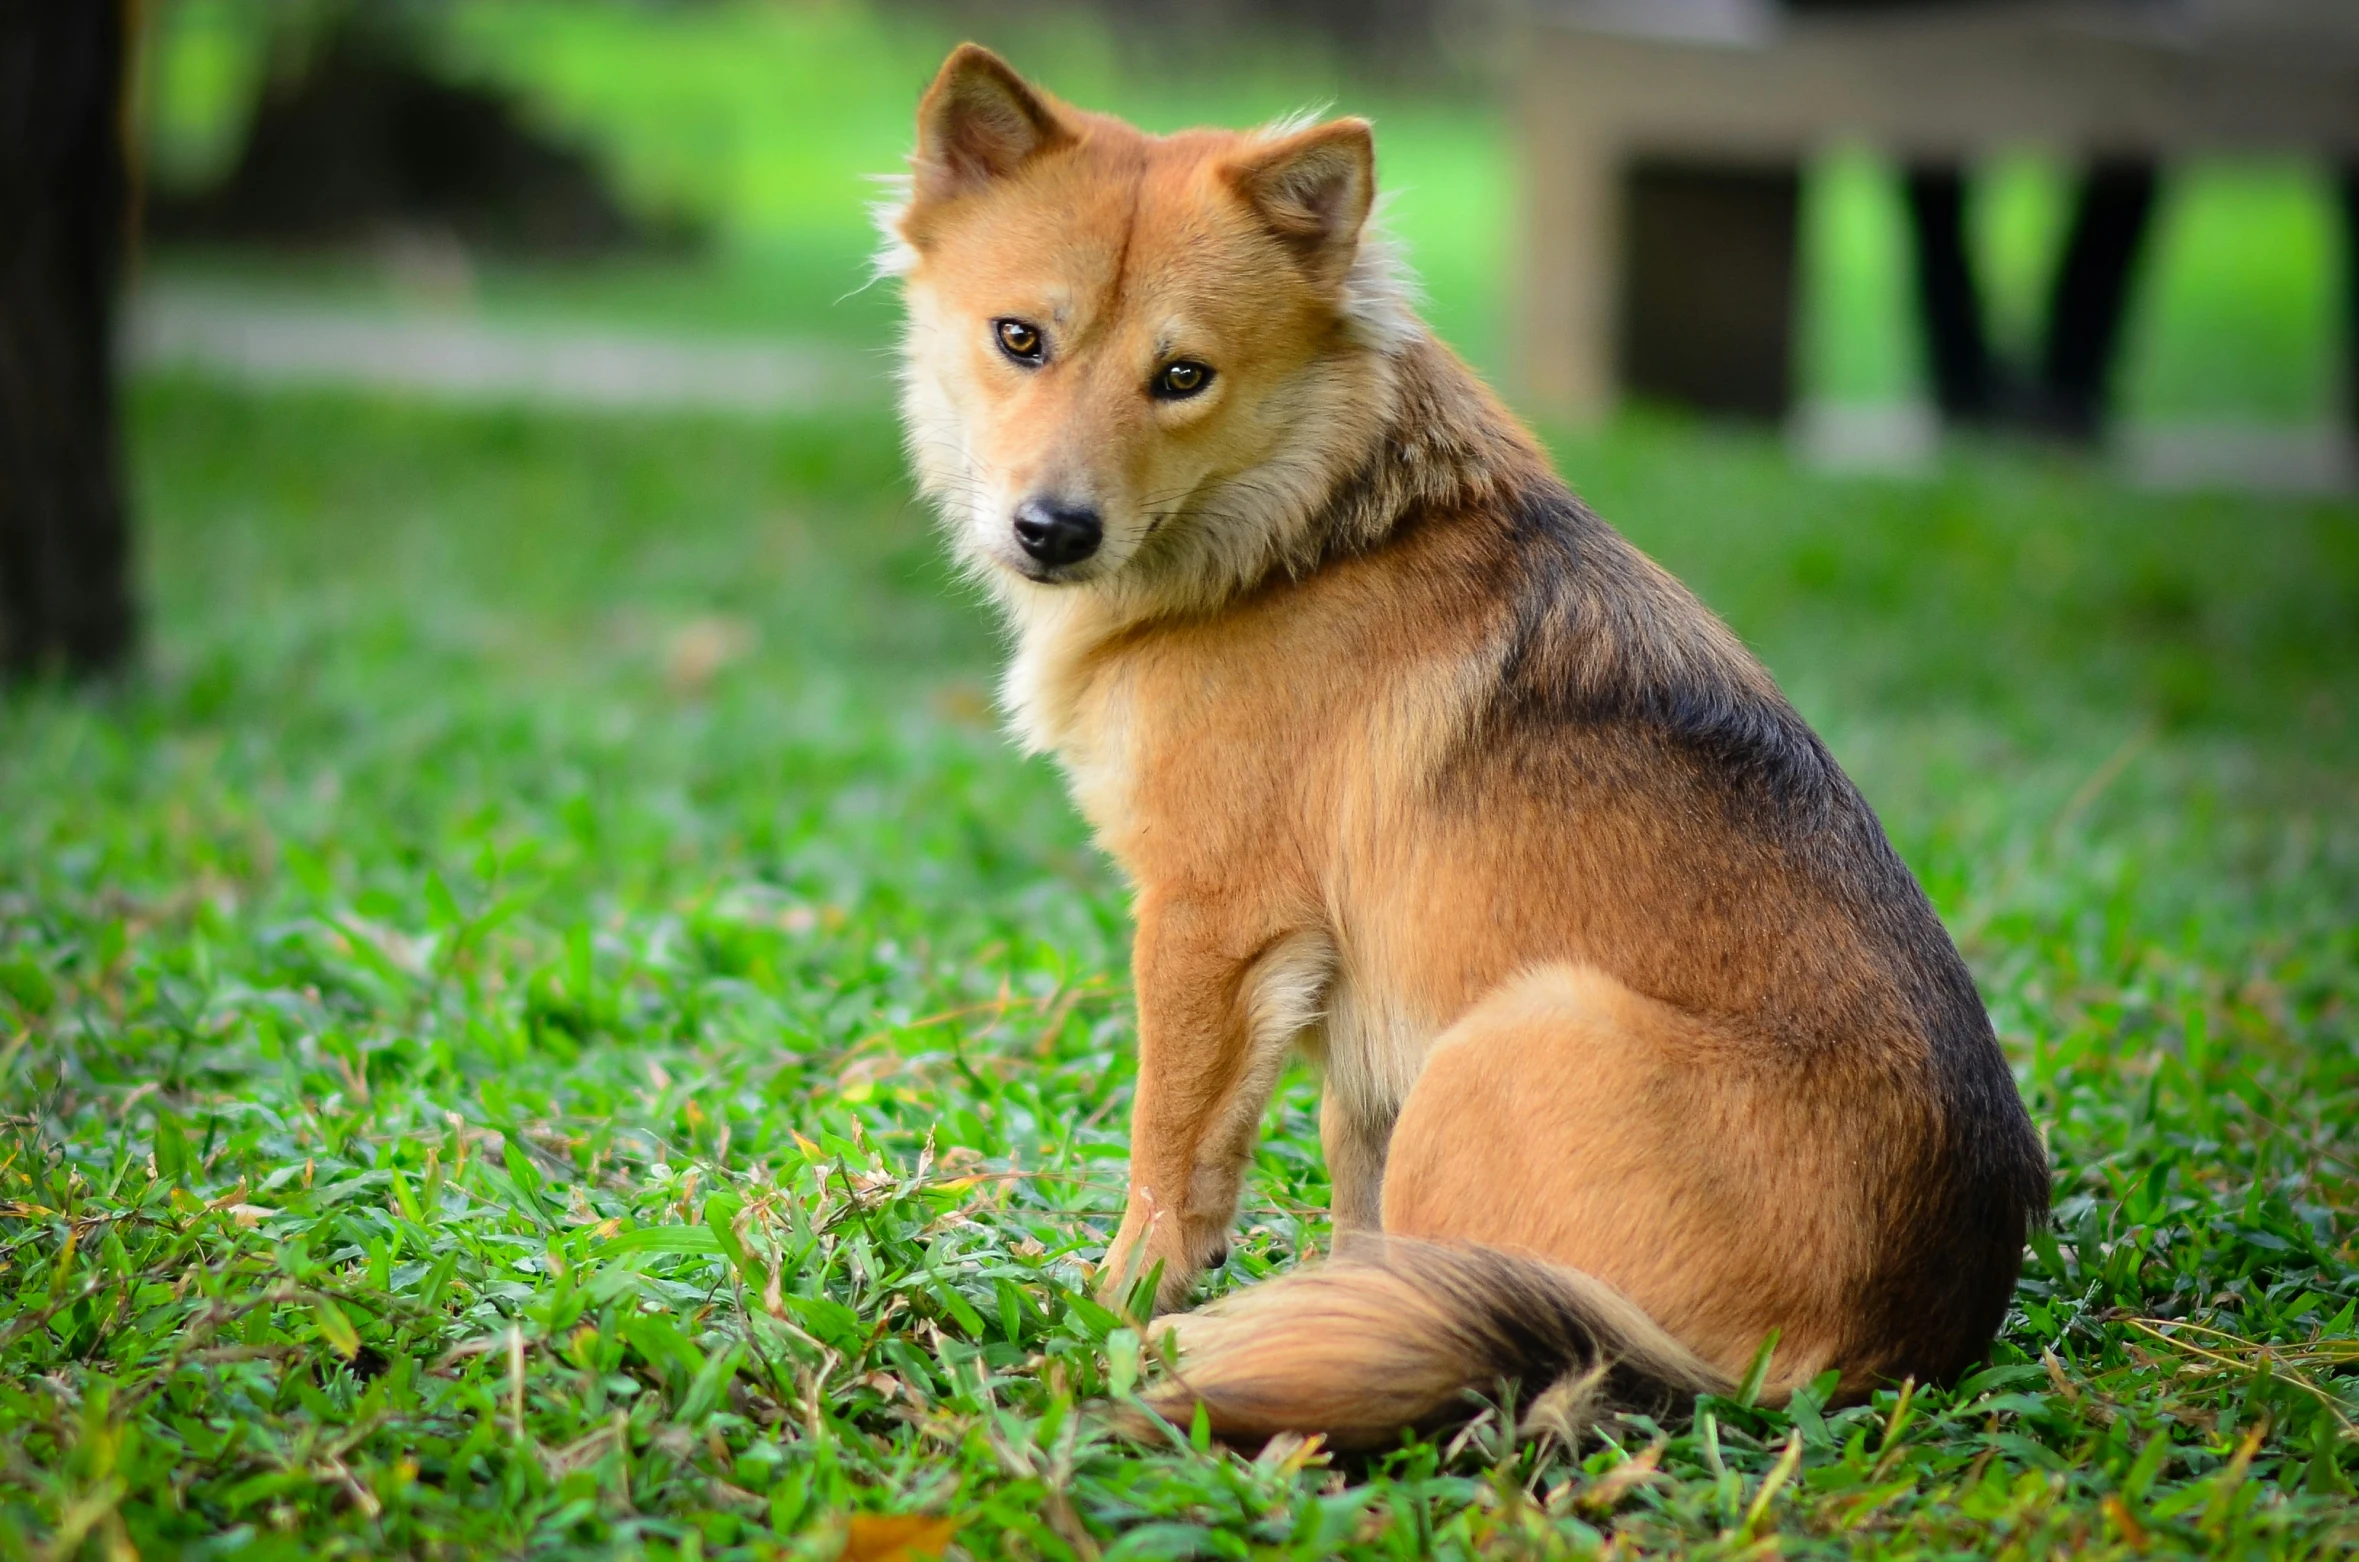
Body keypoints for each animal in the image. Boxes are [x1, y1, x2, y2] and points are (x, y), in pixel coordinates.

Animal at [886, 42, 2047, 1453]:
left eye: (1182, 376)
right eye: (1020, 339)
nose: (1052, 530)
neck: (1303, 534)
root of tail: (1863, 1358)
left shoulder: (1213, 923)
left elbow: (1171, 1156)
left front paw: (1122, 1304)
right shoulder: (1351, 1009)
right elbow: (1349, 1197)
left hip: (1504, 1035)